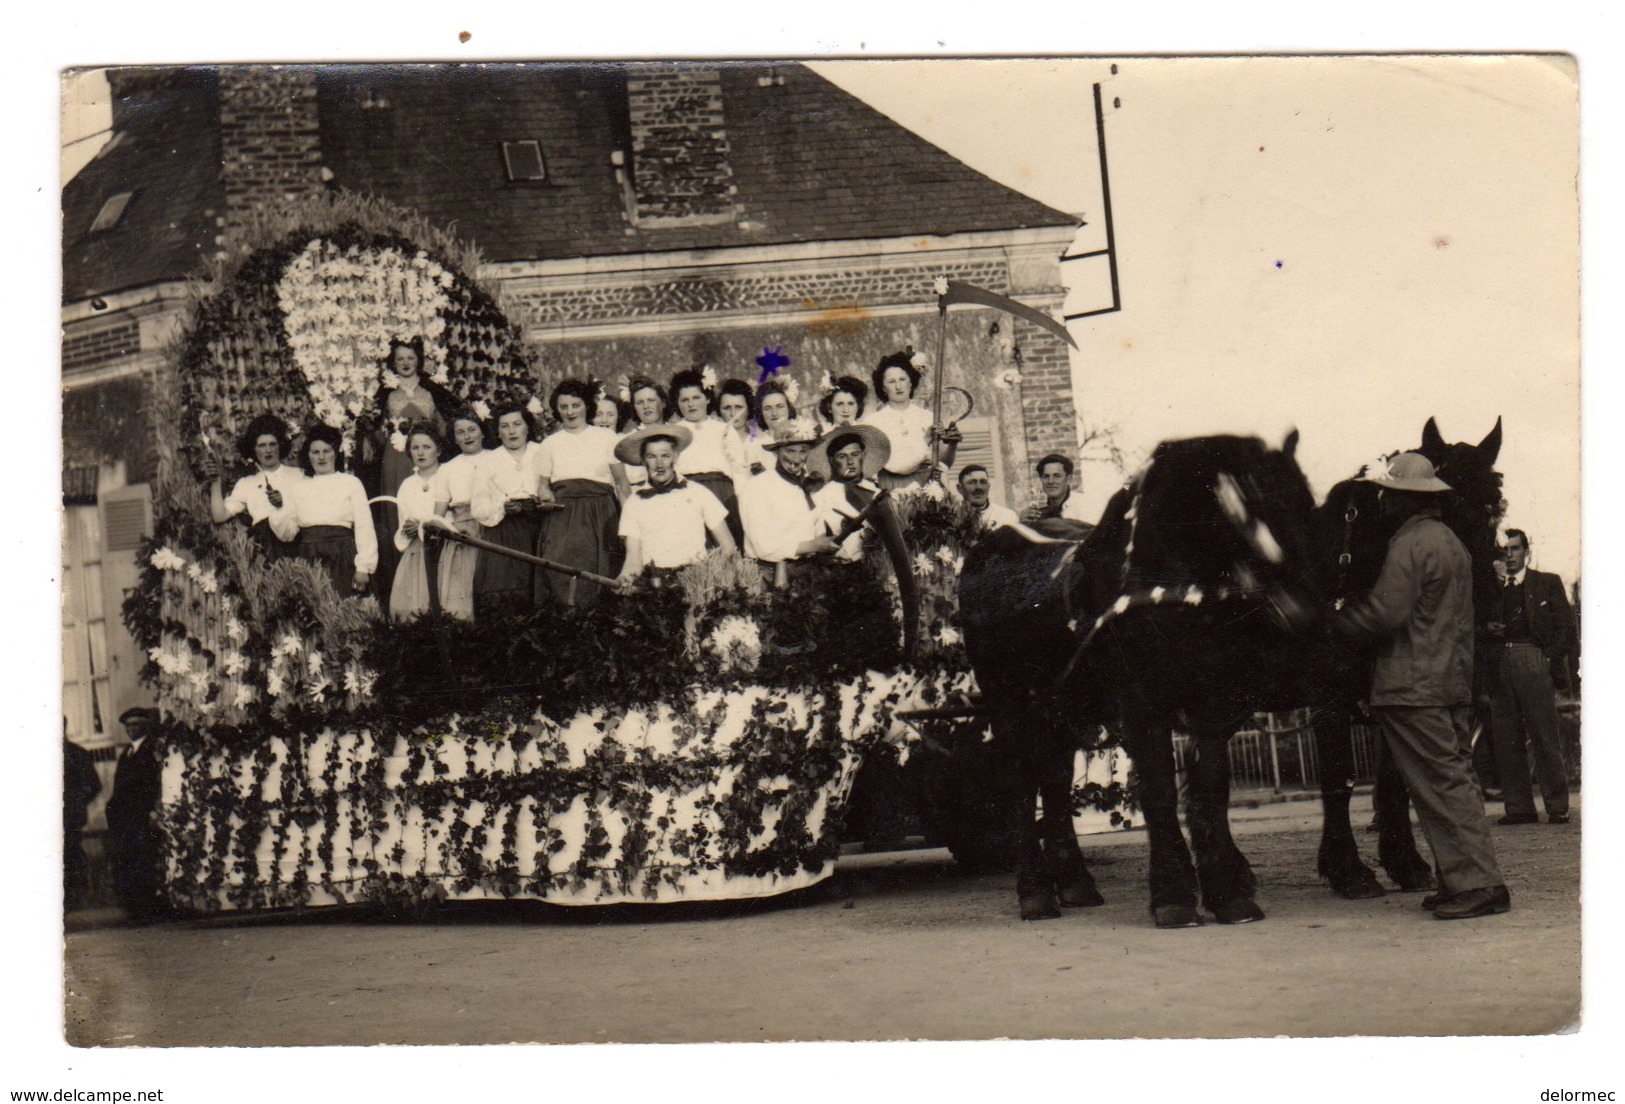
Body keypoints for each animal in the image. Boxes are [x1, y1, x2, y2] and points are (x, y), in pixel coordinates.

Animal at [962, 432, 1319, 923]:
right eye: (1251, 507)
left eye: (1306, 501)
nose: (1304, 612)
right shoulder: (1141, 704)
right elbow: (1159, 788)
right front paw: (1173, 898)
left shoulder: (1211, 706)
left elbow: (1211, 791)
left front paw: (1228, 895)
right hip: (1009, 703)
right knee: (1021, 782)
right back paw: (1034, 893)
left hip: (1064, 708)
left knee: (1054, 781)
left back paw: (1075, 884)